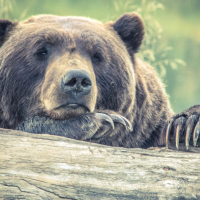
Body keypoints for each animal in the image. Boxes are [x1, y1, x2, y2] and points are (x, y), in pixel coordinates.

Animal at [0, 12, 199, 148]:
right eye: (41, 51)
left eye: (97, 55)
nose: (77, 80)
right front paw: (103, 121)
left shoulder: (148, 129)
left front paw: (186, 125)